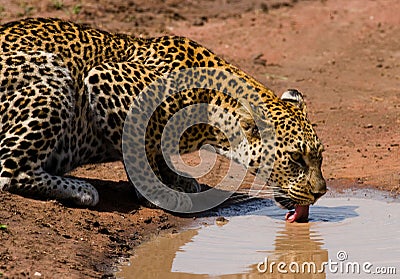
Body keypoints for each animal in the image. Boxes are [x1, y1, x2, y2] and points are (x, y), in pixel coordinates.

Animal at [0, 18, 324, 221]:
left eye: (319, 157)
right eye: (296, 158)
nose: (321, 193)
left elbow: (158, 152)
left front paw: (177, 179)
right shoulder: (105, 79)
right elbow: (138, 148)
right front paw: (158, 193)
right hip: (55, 80)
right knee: (10, 172)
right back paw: (82, 190)